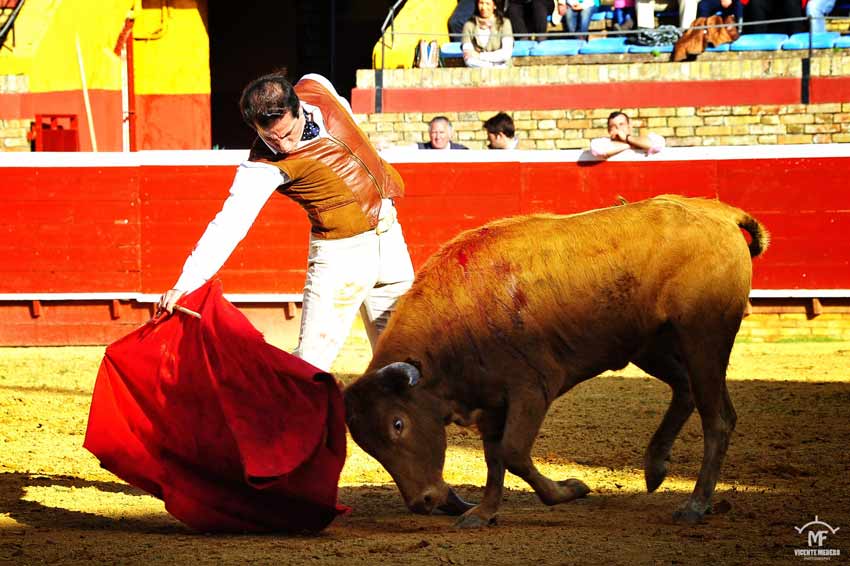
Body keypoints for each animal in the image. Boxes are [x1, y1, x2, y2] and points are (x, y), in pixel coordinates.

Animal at [342, 195, 768, 528]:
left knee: (718, 418)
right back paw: (655, 467)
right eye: (366, 444)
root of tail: (721, 213)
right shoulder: (491, 402)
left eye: (398, 423)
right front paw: (484, 513)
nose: (424, 502)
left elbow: (513, 453)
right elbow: (495, 459)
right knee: (684, 389)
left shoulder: (532, 387)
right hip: (648, 345)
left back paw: (695, 504)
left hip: (703, 338)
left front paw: (571, 490)